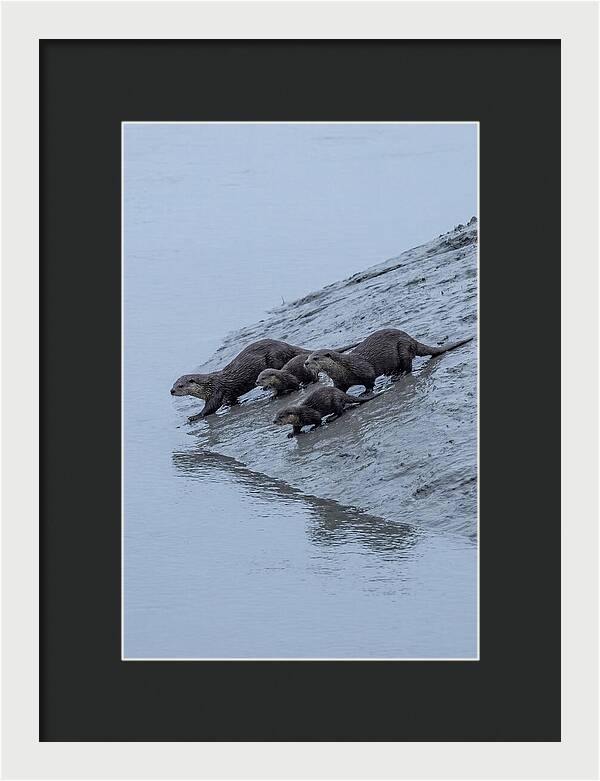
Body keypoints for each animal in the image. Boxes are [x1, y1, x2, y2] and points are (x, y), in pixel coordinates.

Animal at [171, 338, 359, 420]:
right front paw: (230, 405)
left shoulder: (216, 391)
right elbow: (232, 399)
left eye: (180, 385)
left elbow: (210, 408)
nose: (171, 391)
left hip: (275, 357)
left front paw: (195, 416)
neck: (208, 385)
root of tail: (284, 344)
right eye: (173, 384)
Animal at [304, 328, 473, 392]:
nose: (306, 363)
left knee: (408, 366)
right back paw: (393, 374)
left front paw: (365, 393)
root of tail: (411, 339)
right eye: (307, 357)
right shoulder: (340, 382)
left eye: (315, 358)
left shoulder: (363, 369)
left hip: (403, 347)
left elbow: (369, 381)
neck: (344, 369)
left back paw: (400, 375)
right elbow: (339, 390)